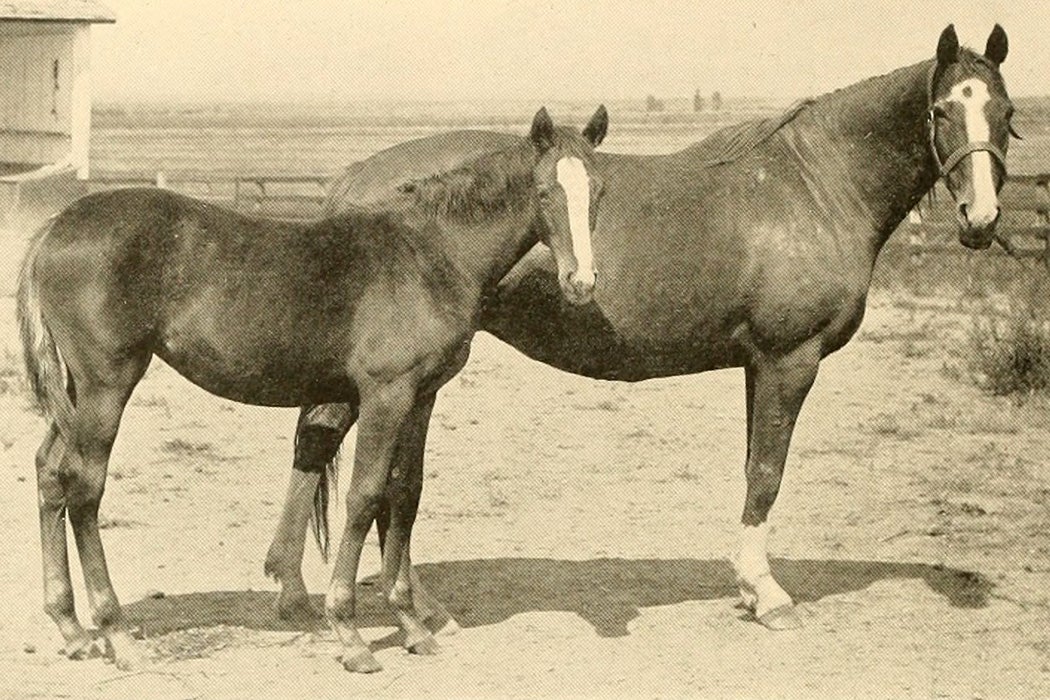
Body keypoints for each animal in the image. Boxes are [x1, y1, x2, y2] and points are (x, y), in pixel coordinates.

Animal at [16, 105, 609, 671]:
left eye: (599, 190)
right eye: (545, 190)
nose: (581, 283)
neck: (427, 254)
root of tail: (54, 227)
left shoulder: (421, 396)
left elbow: (404, 494)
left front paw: (412, 626)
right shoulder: (385, 394)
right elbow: (365, 496)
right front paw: (349, 634)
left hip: (76, 390)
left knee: (49, 470)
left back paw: (72, 629)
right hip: (107, 382)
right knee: (84, 488)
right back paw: (115, 632)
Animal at [270, 24, 1016, 633]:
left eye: (1005, 113)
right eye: (942, 110)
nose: (980, 220)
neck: (813, 186)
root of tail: (358, 174)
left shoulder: (759, 364)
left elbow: (754, 467)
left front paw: (748, 586)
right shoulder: (790, 359)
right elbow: (767, 474)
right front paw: (769, 596)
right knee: (335, 448)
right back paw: (324, 595)